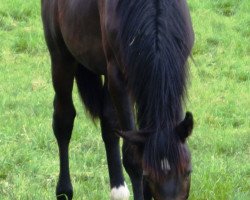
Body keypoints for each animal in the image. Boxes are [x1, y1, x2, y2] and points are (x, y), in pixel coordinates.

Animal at [41, 0, 194, 200]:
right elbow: (133, 158)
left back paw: (118, 190)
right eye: (148, 176)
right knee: (63, 119)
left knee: (108, 123)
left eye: (188, 172)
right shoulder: (119, 78)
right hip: (61, 56)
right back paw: (64, 191)